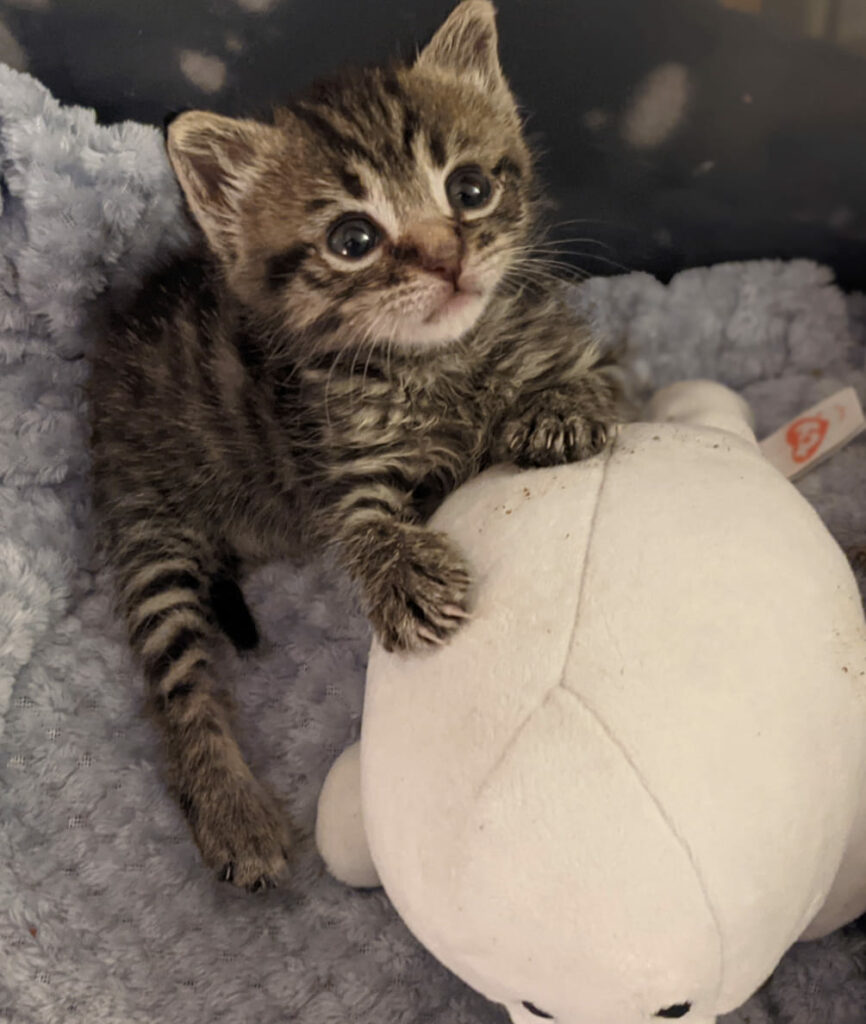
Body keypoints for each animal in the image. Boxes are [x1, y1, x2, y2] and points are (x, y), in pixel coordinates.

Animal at [88, 0, 622, 891]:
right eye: (352, 239)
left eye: (470, 190)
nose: (446, 260)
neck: (442, 364)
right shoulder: (340, 455)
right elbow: (363, 521)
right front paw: (403, 577)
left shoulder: (589, 354)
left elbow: (589, 386)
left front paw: (558, 411)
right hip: (146, 520)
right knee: (176, 688)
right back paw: (231, 809)